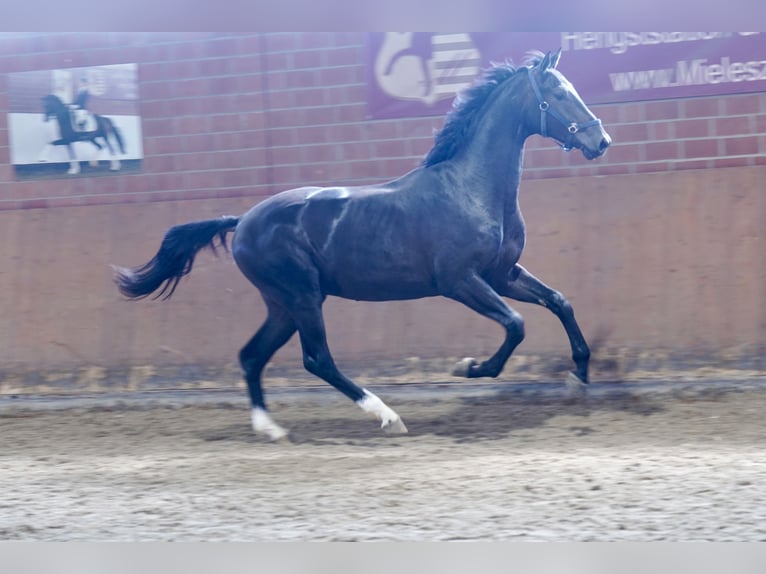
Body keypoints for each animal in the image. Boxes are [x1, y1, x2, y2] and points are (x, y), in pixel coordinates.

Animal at [114, 51, 612, 444]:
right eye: (559, 93)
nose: (600, 140)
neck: (469, 188)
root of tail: (243, 221)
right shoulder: (459, 281)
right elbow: (516, 325)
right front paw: (468, 368)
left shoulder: (502, 274)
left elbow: (559, 302)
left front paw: (578, 376)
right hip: (303, 296)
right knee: (317, 359)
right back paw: (388, 417)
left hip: (282, 304)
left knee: (252, 355)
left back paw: (271, 430)